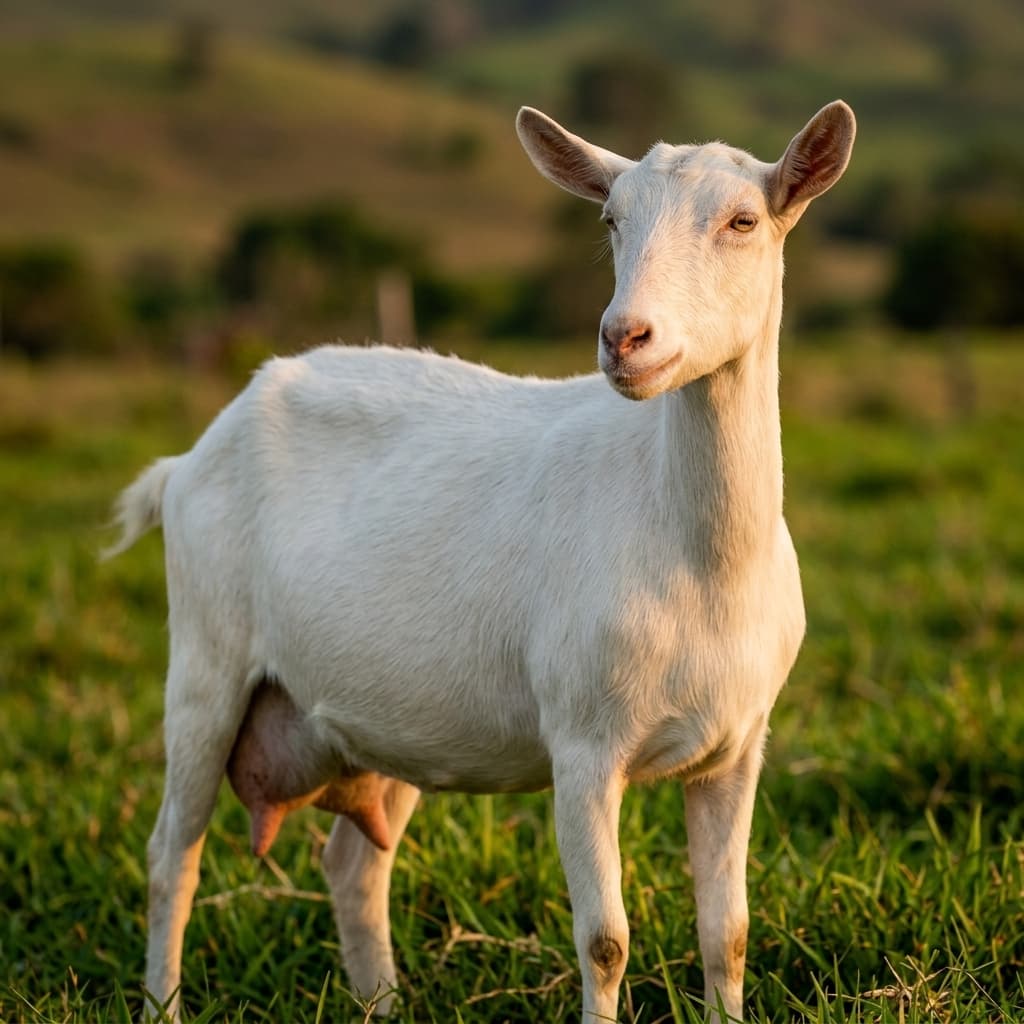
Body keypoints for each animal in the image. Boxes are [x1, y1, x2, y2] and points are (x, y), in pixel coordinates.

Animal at [109, 100, 855, 1022]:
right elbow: (605, 941)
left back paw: (382, 1004)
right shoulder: (582, 741)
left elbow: (730, 932)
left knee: (351, 866)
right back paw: (164, 1000)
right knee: (171, 853)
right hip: (206, 660)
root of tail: (190, 457)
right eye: (611, 220)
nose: (625, 338)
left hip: (390, 712)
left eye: (743, 221)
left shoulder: (738, 746)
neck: (695, 551)